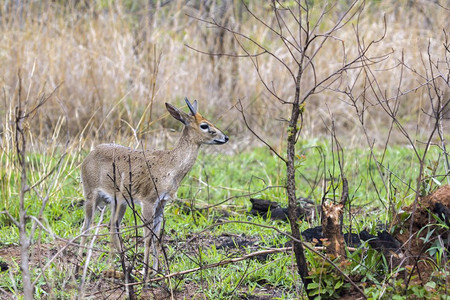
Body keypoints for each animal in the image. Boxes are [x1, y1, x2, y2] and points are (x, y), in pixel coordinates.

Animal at [77, 98, 229, 276]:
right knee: (86, 227)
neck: (171, 166)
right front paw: (145, 272)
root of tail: (90, 154)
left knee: (112, 227)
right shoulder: (148, 201)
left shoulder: (162, 203)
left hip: (119, 202)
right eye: (204, 125)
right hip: (91, 196)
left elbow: (157, 238)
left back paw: (119, 268)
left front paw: (156, 272)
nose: (225, 137)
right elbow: (148, 237)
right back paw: (79, 267)